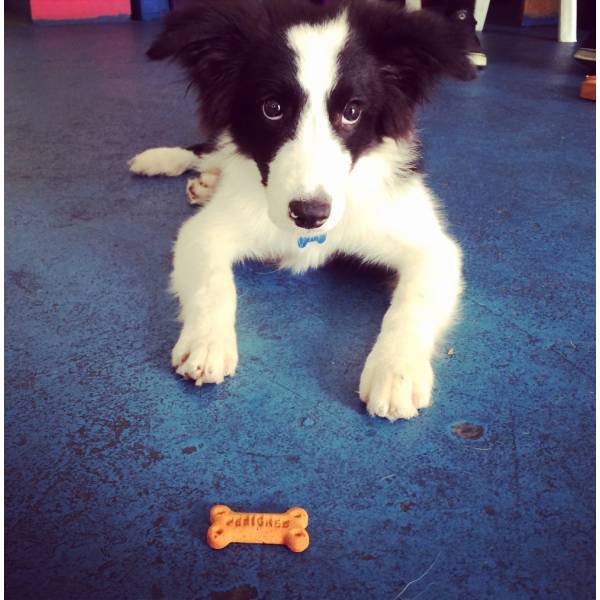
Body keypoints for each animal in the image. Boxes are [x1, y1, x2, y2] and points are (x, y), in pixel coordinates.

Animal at [129, 0, 476, 422]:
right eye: (272, 108)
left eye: (353, 111)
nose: (310, 214)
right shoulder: (202, 232)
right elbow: (214, 284)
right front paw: (207, 343)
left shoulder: (431, 247)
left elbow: (412, 304)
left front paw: (396, 372)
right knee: (209, 149)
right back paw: (162, 161)